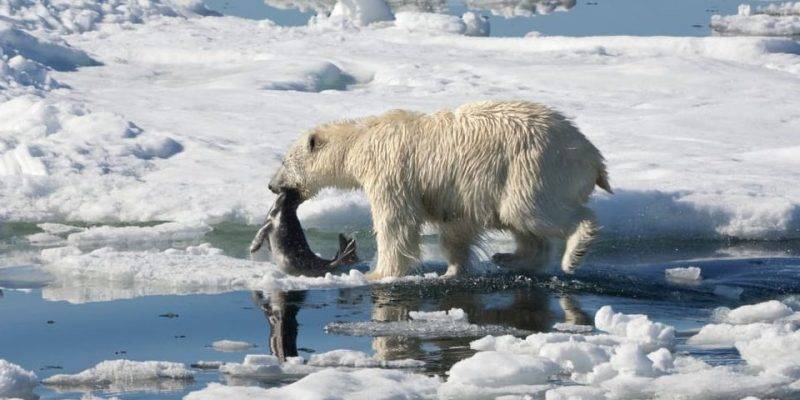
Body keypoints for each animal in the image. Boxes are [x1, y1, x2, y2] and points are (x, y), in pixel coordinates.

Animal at [268, 100, 612, 278]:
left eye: (284, 160)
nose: (272, 185)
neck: (361, 141)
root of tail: (593, 157)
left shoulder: (391, 170)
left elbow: (396, 222)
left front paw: (377, 273)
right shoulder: (455, 190)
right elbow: (456, 226)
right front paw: (453, 270)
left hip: (534, 167)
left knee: (531, 210)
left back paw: (573, 254)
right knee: (521, 222)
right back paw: (509, 258)